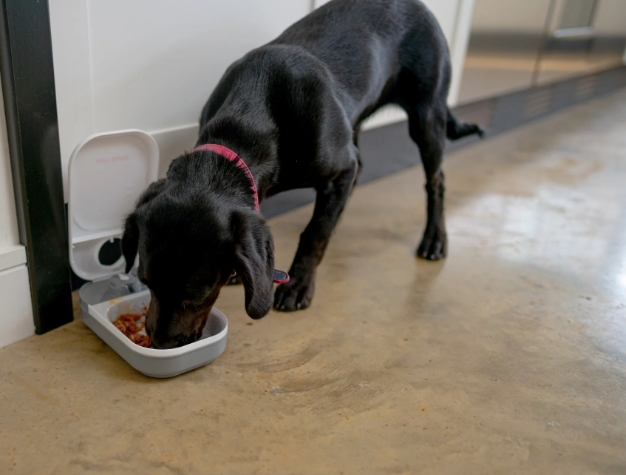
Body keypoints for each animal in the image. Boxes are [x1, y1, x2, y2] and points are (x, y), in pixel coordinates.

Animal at [122, 0, 482, 350]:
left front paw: (297, 283)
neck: (249, 118)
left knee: (435, 181)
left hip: (427, 116)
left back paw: (434, 238)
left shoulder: (340, 169)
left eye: (197, 295)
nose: (159, 344)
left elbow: (315, 232)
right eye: (146, 281)